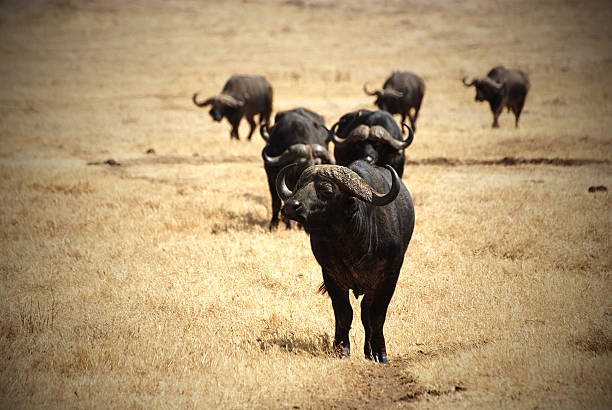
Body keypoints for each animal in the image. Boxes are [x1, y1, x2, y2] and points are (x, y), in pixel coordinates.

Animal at [278, 161, 416, 366]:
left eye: (325, 189)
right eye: (300, 186)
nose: (289, 206)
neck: (356, 243)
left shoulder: (390, 276)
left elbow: (377, 315)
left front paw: (380, 354)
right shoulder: (330, 275)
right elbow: (343, 313)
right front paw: (341, 349)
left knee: (367, 312)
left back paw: (370, 352)